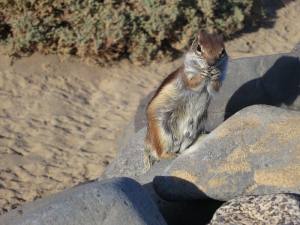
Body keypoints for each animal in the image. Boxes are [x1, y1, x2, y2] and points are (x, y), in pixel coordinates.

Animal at [145, 30, 227, 165]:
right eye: (199, 48)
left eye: (222, 51)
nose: (211, 64)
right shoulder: (186, 76)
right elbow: (192, 83)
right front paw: (201, 75)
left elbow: (215, 88)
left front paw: (216, 74)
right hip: (161, 130)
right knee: (160, 152)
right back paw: (169, 154)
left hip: (194, 126)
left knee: (184, 146)